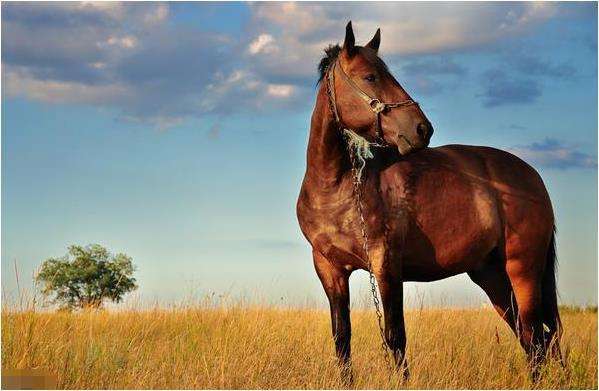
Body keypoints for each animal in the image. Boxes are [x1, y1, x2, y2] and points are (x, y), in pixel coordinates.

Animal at [298, 20, 564, 382]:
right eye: (370, 77)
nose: (422, 129)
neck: (336, 186)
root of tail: (533, 177)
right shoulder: (330, 269)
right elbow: (342, 339)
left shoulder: (385, 264)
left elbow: (395, 337)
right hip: (492, 276)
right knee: (530, 338)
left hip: (523, 270)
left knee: (536, 338)